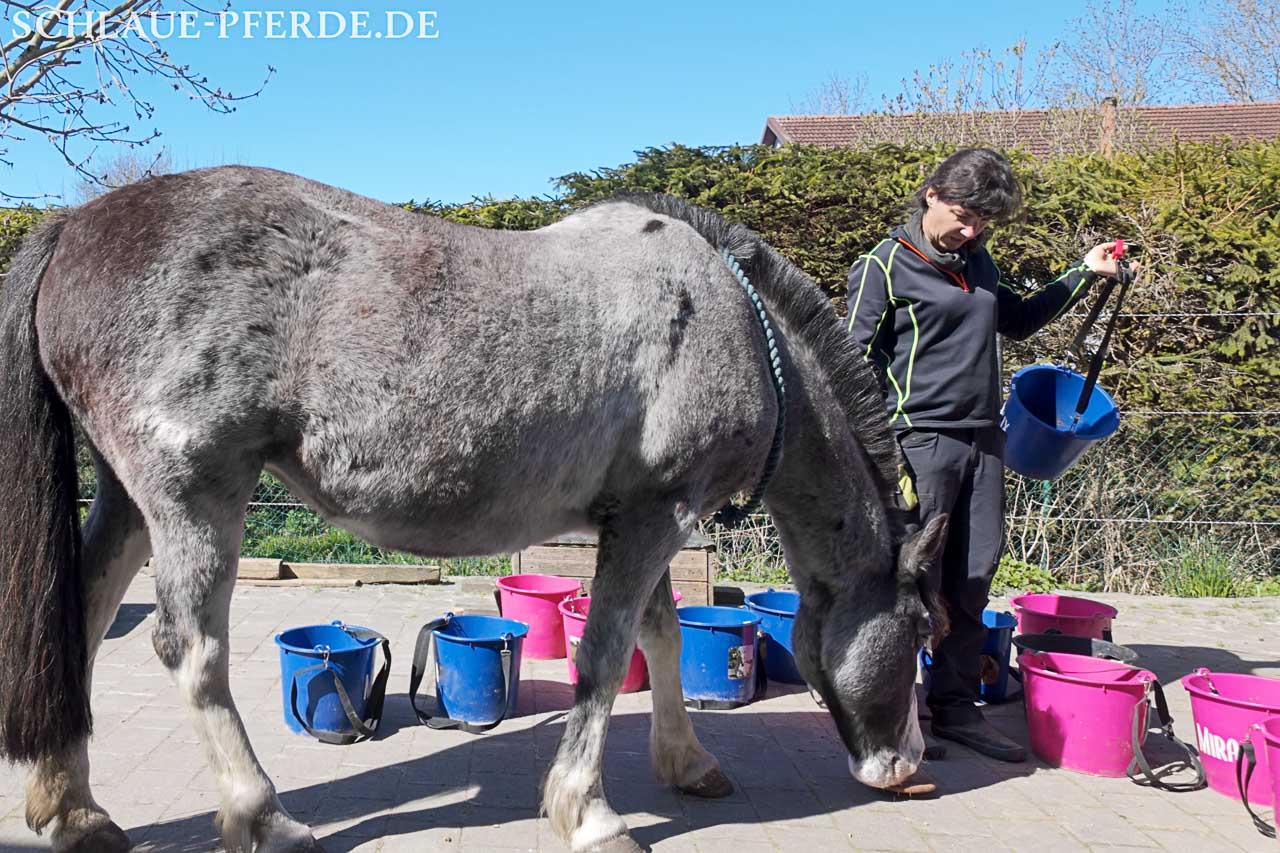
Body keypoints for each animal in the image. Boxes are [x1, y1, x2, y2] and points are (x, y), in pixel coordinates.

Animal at [0, 166, 946, 853]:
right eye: (920, 632)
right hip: (196, 493)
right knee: (191, 650)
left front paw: (687, 761)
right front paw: (590, 814)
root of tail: (75, 226)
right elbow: (605, 659)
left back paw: (73, 810)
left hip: (128, 499)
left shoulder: (642, 517)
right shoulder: (657, 515)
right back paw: (264, 816)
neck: (738, 327)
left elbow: (661, 637)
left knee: (78, 624)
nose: (904, 767)